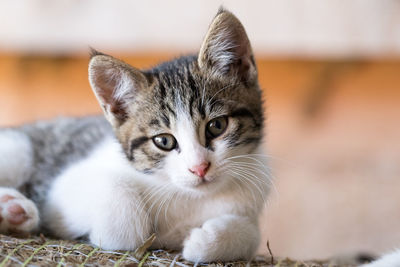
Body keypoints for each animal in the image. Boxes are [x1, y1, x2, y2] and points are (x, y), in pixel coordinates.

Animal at [0, 8, 270, 264]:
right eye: (163, 141)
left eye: (216, 126)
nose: (199, 168)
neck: (189, 197)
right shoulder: (60, 189)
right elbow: (125, 227)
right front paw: (121, 230)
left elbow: (252, 235)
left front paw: (207, 240)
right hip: (18, 148)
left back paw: (13, 211)